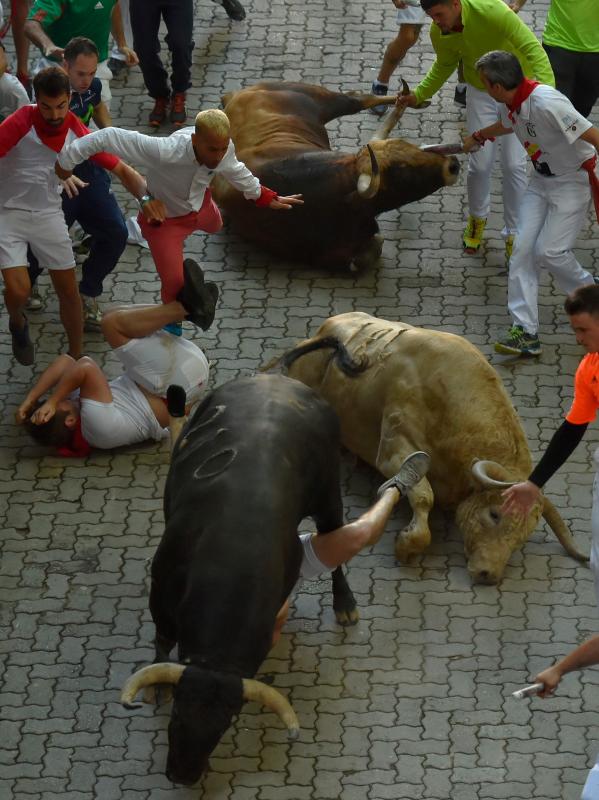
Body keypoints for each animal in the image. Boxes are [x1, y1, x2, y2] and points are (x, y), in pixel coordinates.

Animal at [213, 81, 462, 270]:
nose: (453, 165)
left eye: (410, 146)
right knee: (358, 99)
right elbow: (365, 254)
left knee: (359, 99)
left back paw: (411, 99)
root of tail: (238, 96)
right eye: (403, 171)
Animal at [278, 310, 592, 580]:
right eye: (494, 514)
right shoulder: (394, 448)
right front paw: (407, 544)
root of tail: (326, 327)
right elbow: (422, 496)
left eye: (522, 535)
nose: (488, 574)